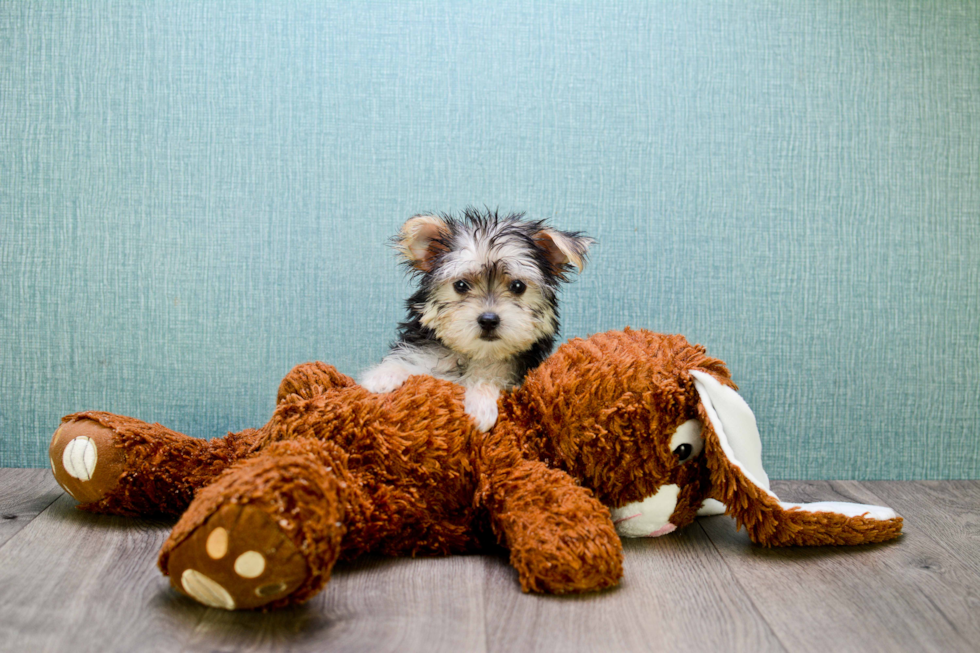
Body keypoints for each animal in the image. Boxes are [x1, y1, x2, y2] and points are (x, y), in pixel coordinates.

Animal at [358, 209, 592, 430]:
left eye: (518, 286)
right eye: (460, 285)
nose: (488, 319)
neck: (477, 354)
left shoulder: (515, 377)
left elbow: (491, 380)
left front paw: (481, 405)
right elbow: (410, 361)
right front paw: (383, 375)